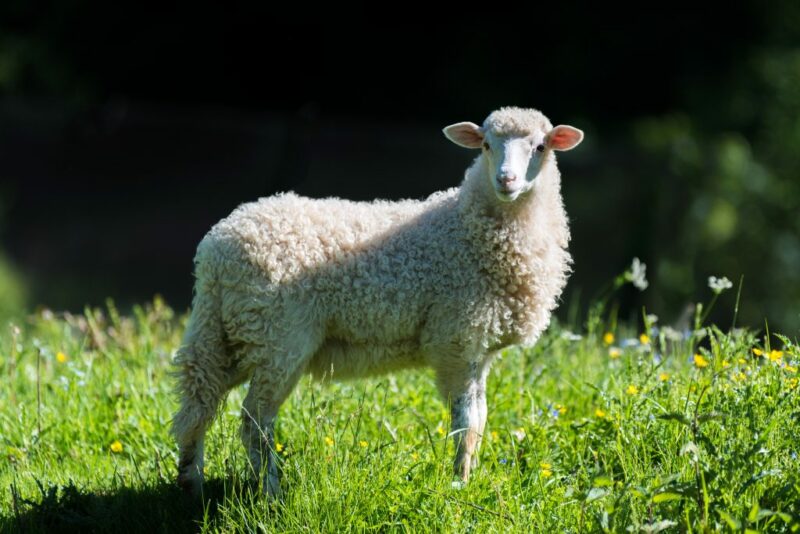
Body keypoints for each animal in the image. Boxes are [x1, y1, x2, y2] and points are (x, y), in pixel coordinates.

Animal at [170, 105, 580, 498]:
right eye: (485, 145)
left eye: (540, 147)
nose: (506, 180)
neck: (467, 227)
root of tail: (216, 250)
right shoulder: (455, 340)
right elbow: (466, 423)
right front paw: (459, 484)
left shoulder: (478, 348)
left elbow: (480, 418)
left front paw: (470, 476)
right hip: (278, 338)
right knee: (254, 420)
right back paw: (271, 494)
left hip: (229, 333)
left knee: (198, 402)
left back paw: (191, 483)